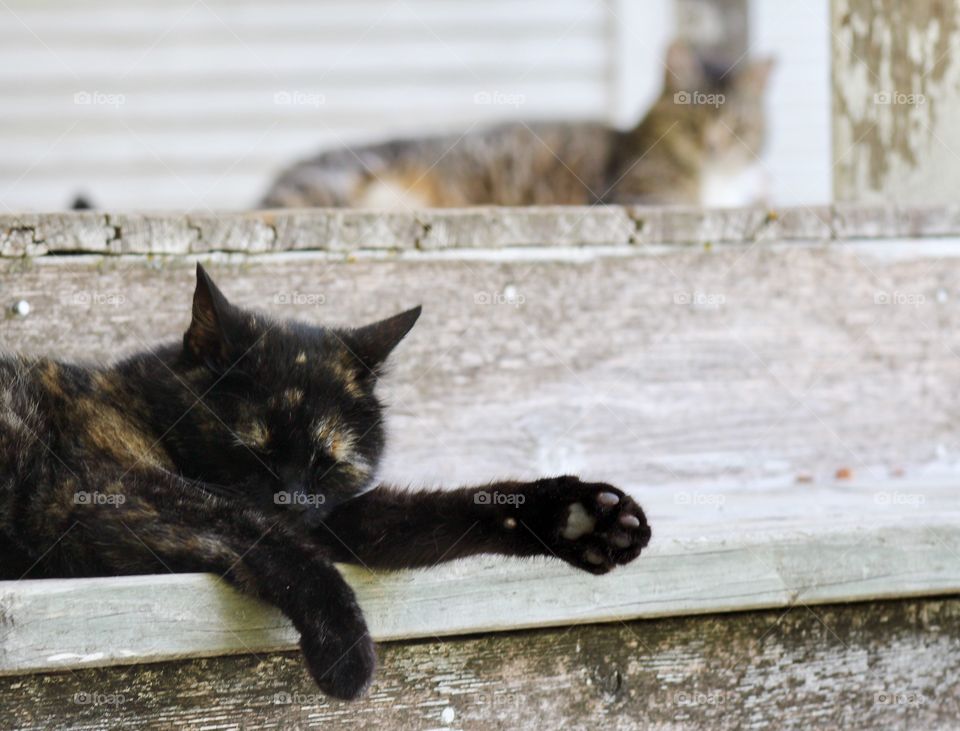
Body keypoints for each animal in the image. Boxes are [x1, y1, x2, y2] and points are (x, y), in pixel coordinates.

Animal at [0, 266, 652, 700]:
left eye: (328, 463)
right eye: (253, 448)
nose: (291, 500)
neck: (138, 400)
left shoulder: (336, 518)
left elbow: (439, 513)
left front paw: (583, 518)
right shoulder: (100, 493)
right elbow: (265, 537)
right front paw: (347, 652)